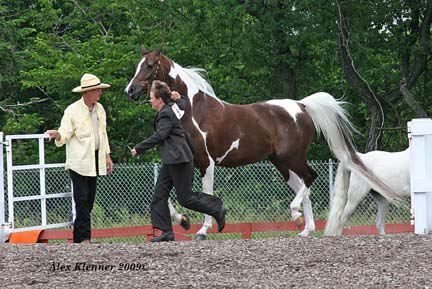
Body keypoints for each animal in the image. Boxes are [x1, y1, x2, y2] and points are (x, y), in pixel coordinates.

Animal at [123, 46, 400, 237]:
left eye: (149, 65)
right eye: (138, 64)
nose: (130, 91)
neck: (192, 109)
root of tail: (302, 106)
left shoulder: (206, 161)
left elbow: (204, 194)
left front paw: (203, 230)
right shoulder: (185, 162)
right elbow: (169, 196)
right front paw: (183, 220)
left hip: (292, 157)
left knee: (310, 178)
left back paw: (297, 215)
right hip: (281, 163)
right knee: (305, 186)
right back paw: (304, 228)